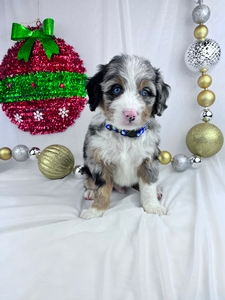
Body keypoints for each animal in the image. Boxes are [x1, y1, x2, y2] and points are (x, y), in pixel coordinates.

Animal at [80, 54, 170, 219]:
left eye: (145, 92)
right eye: (116, 89)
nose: (130, 114)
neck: (125, 135)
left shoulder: (148, 160)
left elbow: (148, 188)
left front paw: (153, 207)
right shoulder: (99, 161)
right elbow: (101, 189)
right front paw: (95, 211)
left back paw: (157, 193)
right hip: (86, 168)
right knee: (89, 182)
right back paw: (89, 192)